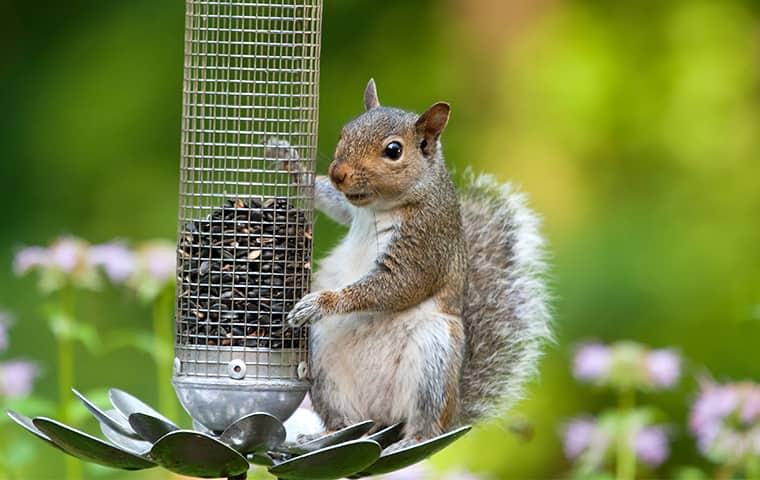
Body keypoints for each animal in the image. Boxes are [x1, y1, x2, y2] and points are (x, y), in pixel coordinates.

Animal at [268, 79, 552, 446]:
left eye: (393, 150)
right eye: (345, 132)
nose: (338, 173)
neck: (382, 206)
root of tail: (382, 417)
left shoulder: (426, 244)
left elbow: (397, 285)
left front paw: (321, 302)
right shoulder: (351, 209)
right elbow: (335, 203)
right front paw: (291, 162)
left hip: (434, 355)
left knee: (425, 422)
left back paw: (411, 439)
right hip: (323, 362)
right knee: (347, 421)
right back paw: (329, 434)